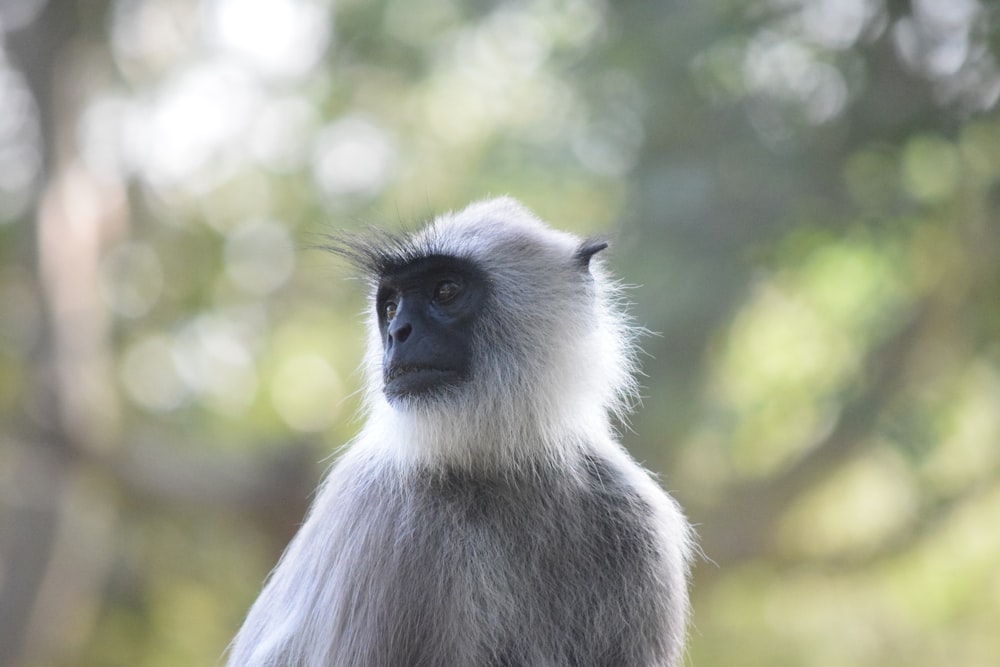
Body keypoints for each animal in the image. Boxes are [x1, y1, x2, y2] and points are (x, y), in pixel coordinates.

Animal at [227, 196, 696, 664]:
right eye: (391, 308)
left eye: (446, 291)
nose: (398, 332)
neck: (497, 466)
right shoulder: (378, 510)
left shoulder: (637, 519)